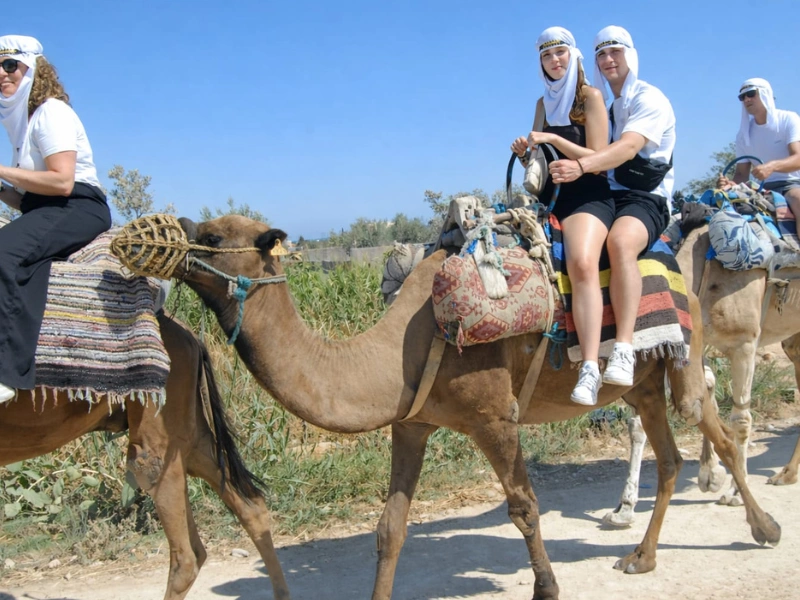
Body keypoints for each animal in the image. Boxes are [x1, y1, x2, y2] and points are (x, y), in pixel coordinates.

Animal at [173, 214, 780, 600]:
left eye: (211, 235)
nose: (172, 235)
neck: (401, 345)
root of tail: (680, 273)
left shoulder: (493, 416)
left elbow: (525, 508)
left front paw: (547, 589)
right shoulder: (412, 423)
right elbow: (390, 529)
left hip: (686, 353)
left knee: (714, 422)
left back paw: (764, 528)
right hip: (641, 382)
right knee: (669, 455)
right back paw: (641, 556)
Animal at [605, 220, 800, 527]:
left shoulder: (744, 343)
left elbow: (740, 418)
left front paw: (733, 491)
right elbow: (648, 420)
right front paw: (624, 508)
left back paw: (783, 474)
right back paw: (787, 474)